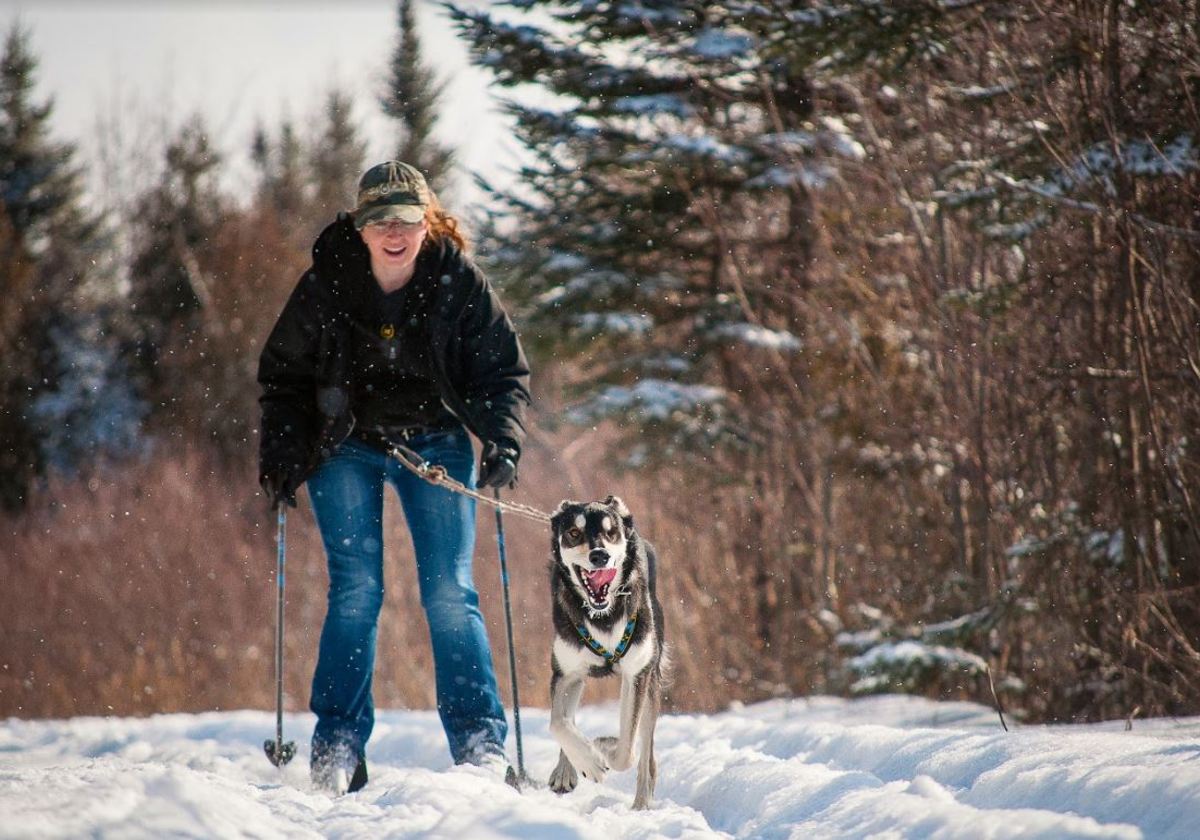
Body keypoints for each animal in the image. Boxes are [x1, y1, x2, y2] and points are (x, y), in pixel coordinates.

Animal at [547, 494, 667, 811]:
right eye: (573, 533)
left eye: (611, 532)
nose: (599, 555)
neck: (603, 615)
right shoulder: (566, 673)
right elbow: (558, 722)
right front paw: (586, 759)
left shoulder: (636, 674)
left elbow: (627, 751)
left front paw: (603, 748)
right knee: (567, 718)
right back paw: (567, 768)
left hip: (650, 683)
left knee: (645, 752)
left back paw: (640, 804)